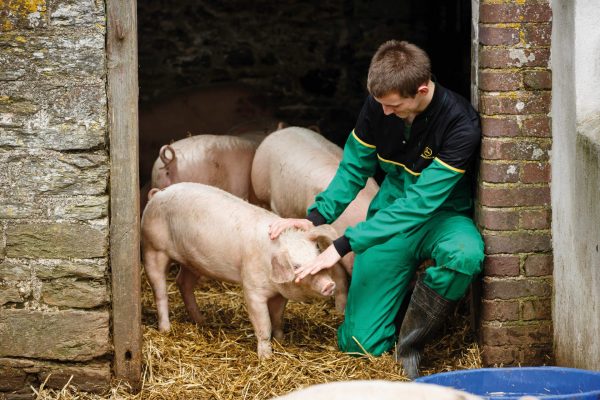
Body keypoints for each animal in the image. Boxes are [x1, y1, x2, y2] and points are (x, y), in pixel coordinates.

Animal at [141, 183, 346, 358]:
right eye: (296, 266)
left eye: (317, 254)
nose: (329, 285)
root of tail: (158, 194)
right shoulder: (252, 288)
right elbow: (264, 324)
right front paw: (266, 358)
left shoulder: (280, 294)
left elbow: (277, 318)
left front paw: (281, 341)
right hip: (153, 248)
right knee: (160, 291)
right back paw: (166, 329)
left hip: (193, 261)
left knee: (183, 283)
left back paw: (202, 321)